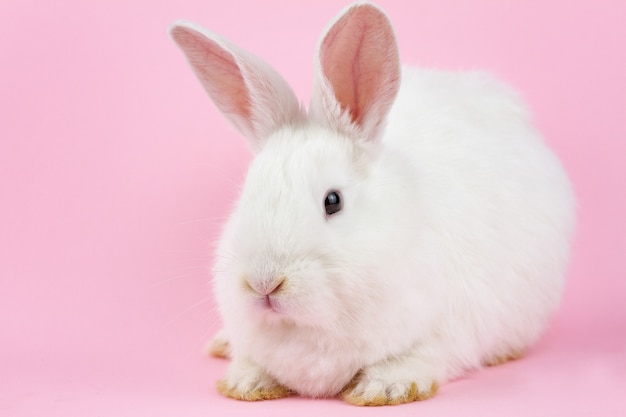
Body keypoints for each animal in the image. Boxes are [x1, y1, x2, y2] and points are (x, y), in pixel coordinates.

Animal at [168, 0, 572, 404]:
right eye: (246, 194)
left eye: (333, 201)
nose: (264, 283)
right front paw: (247, 383)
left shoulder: (443, 331)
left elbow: (417, 357)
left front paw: (385, 388)